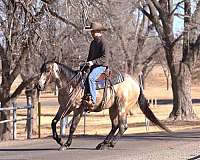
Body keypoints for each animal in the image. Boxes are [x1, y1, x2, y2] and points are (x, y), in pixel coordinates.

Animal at [37, 60, 170, 151]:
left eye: (47, 71)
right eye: (41, 70)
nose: (38, 86)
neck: (72, 84)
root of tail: (136, 83)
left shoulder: (78, 109)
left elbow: (73, 127)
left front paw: (65, 144)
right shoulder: (64, 108)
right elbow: (54, 122)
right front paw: (59, 140)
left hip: (122, 107)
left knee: (122, 126)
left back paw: (111, 144)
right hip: (113, 108)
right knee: (115, 125)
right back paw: (103, 144)